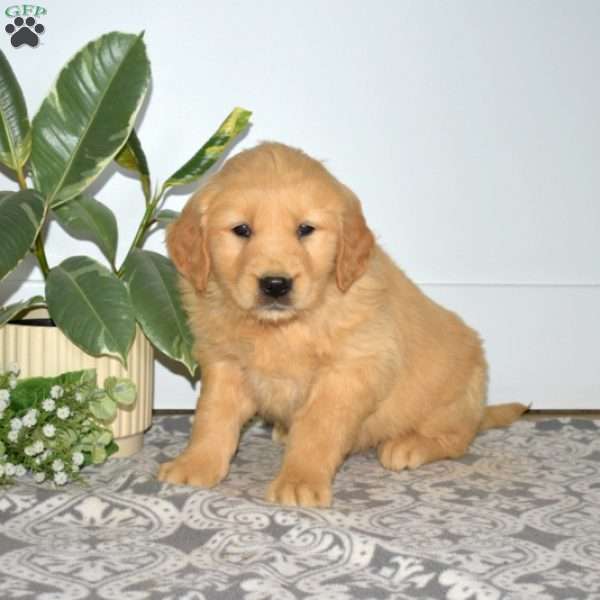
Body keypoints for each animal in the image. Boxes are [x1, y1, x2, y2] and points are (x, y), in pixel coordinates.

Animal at [157, 142, 528, 506]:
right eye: (241, 230)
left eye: (305, 229)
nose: (275, 284)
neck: (283, 327)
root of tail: (480, 408)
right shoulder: (225, 362)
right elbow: (212, 417)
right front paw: (196, 464)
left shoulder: (348, 371)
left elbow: (318, 427)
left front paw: (300, 480)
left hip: (453, 398)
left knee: (457, 438)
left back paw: (410, 445)